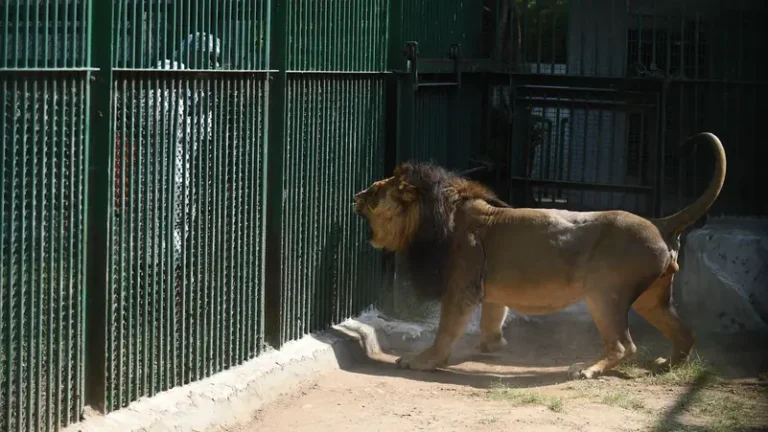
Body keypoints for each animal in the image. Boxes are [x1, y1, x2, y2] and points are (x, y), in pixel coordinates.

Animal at [354, 132, 728, 378]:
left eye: (374, 192)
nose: (355, 196)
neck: (441, 214)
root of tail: (660, 223)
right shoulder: (489, 290)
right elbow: (492, 319)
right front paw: (493, 347)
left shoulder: (462, 287)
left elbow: (446, 329)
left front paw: (425, 360)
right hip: (652, 299)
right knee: (685, 332)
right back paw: (667, 365)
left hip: (603, 293)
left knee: (624, 345)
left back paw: (587, 369)